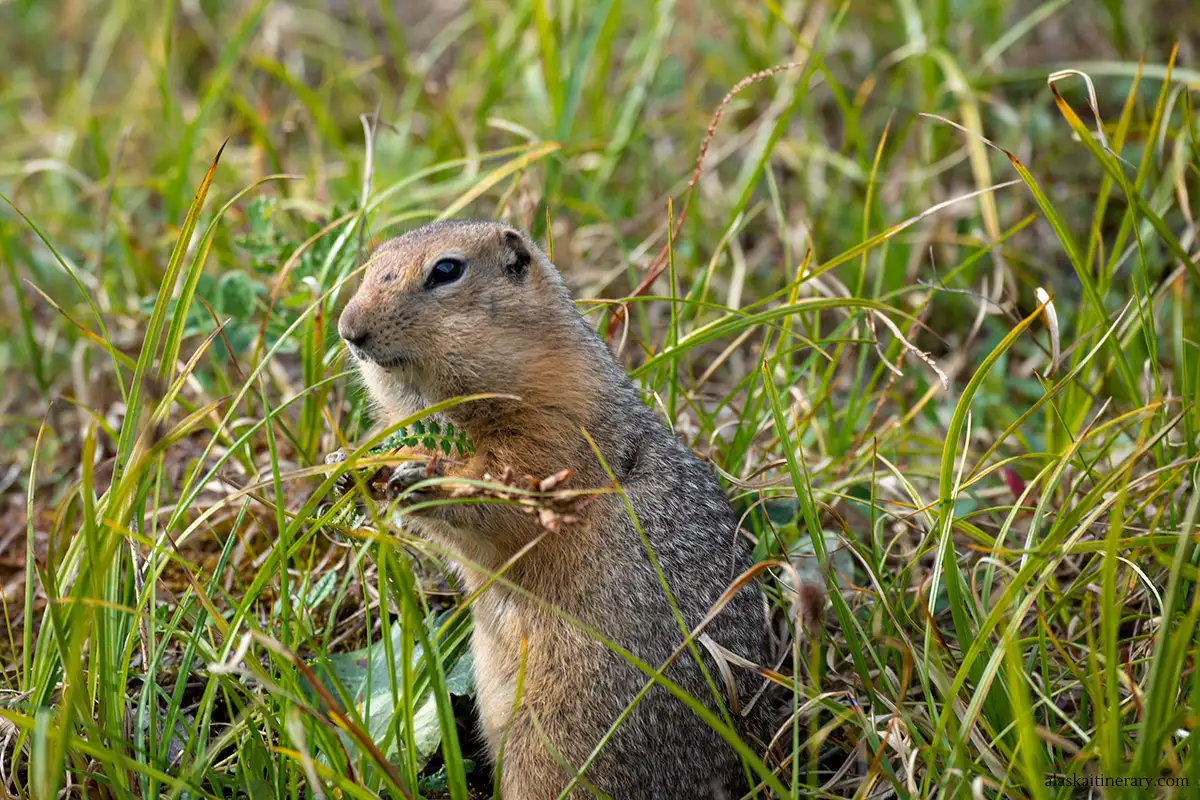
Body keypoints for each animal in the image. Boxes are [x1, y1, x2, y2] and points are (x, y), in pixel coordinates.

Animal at [331, 219, 781, 799]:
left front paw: (424, 480)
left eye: (447, 269)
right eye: (375, 259)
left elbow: (508, 498)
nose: (348, 329)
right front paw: (347, 464)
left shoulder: (553, 438)